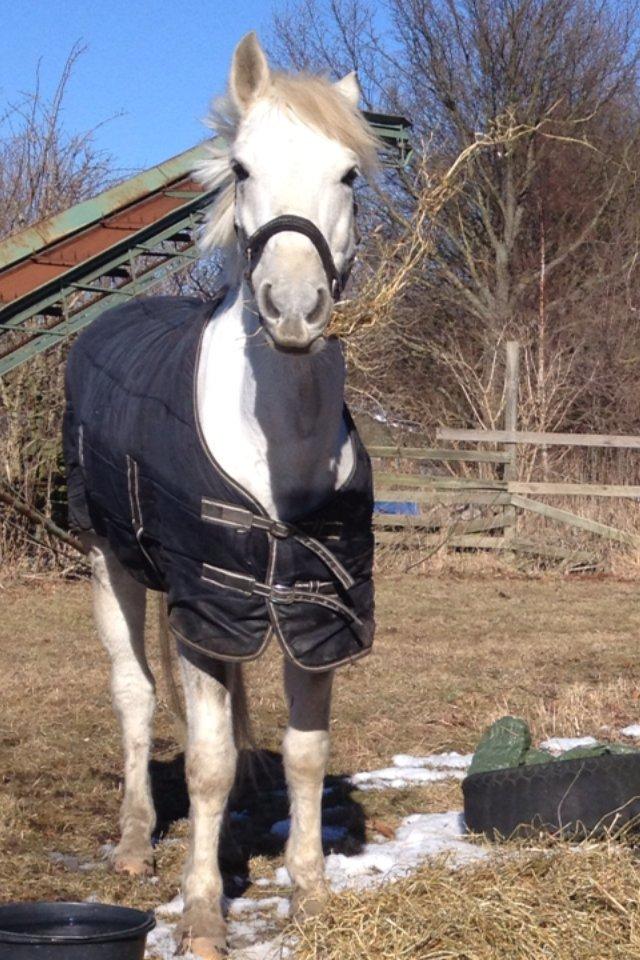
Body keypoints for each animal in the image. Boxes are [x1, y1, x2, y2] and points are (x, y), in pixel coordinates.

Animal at [63, 32, 378, 959]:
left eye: (350, 174)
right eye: (241, 167)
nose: (294, 309)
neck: (276, 456)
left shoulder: (312, 611)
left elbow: (303, 752)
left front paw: (310, 894)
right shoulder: (204, 604)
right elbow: (204, 762)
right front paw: (202, 914)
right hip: (111, 565)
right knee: (136, 696)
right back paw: (136, 842)